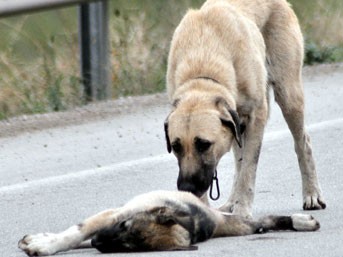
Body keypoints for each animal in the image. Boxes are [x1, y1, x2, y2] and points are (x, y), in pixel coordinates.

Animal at [165, 0, 326, 216]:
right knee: (238, 163)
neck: (204, 64)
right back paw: (231, 203)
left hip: (289, 97)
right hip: (239, 126)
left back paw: (312, 194)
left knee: (303, 143)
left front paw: (242, 211)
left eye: (204, 144)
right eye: (176, 146)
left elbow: (249, 169)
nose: (187, 188)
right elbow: (240, 168)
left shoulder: (256, 117)